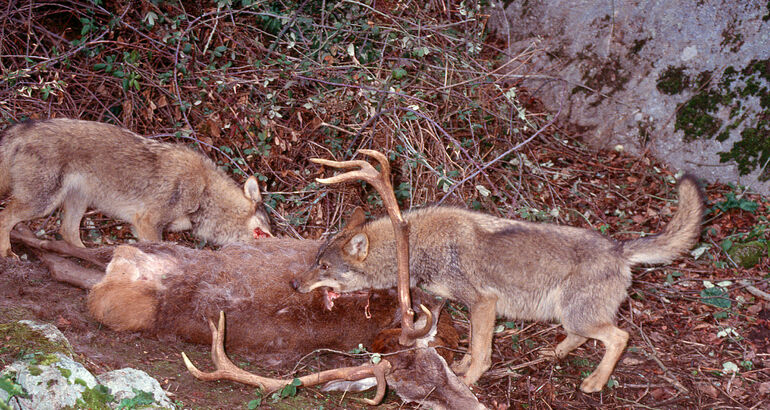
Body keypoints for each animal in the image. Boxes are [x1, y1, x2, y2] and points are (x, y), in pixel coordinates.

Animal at [0, 117, 272, 256]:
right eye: (268, 230)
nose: (279, 243)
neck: (205, 192)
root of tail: (24, 127)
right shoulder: (147, 223)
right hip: (42, 204)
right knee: (5, 217)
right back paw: (7, 253)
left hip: (78, 202)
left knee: (68, 232)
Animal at [292, 175, 704, 392]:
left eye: (323, 265)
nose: (295, 284)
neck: (416, 246)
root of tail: (619, 248)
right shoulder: (471, 308)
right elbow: (472, 346)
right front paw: (460, 368)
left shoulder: (483, 303)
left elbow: (482, 353)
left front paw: (468, 381)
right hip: (568, 316)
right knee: (580, 338)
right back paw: (552, 355)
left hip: (580, 316)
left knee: (619, 337)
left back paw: (594, 383)